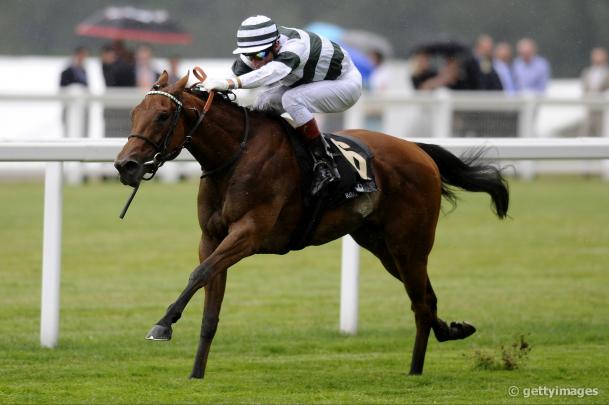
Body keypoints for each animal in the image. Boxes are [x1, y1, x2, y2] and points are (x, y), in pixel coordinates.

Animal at [114, 72, 508, 378]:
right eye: (134, 113)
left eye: (163, 115)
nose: (125, 165)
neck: (235, 156)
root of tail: (418, 150)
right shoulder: (212, 237)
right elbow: (210, 303)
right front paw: (196, 373)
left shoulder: (249, 233)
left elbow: (198, 274)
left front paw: (163, 324)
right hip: (380, 245)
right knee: (426, 296)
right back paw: (450, 332)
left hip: (409, 243)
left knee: (421, 302)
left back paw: (415, 369)